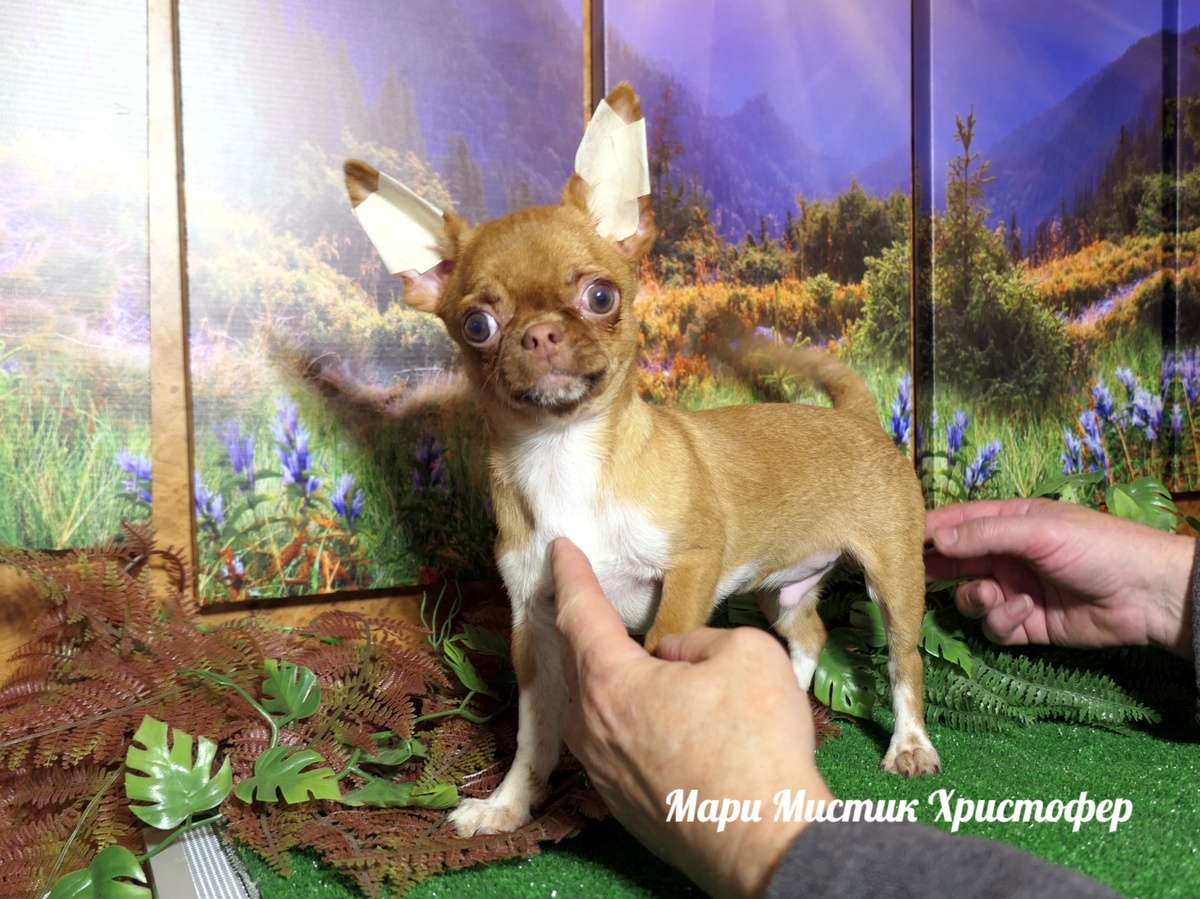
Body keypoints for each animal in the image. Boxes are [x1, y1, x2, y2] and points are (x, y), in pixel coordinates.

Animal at [344, 81, 939, 837]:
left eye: (600, 295)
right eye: (478, 324)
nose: (540, 333)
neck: (566, 454)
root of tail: (857, 417)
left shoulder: (688, 570)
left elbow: (662, 638)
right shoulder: (532, 627)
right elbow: (534, 732)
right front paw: (509, 804)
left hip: (894, 578)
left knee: (904, 662)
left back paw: (910, 744)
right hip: (781, 586)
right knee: (807, 632)